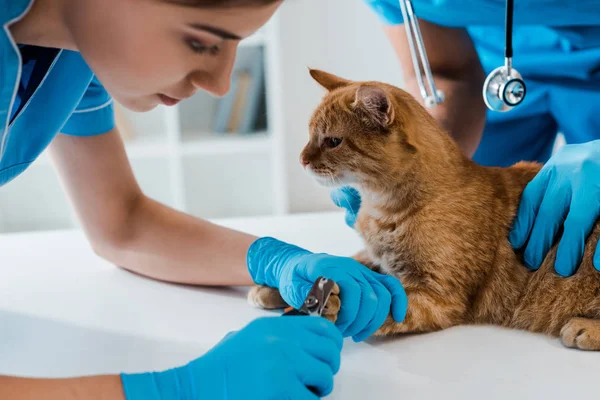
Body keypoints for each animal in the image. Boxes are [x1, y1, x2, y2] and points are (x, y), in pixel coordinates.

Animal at [250, 69, 600, 350]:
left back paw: (582, 328)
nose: (302, 159)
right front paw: (279, 286)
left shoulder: (436, 295)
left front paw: (338, 306)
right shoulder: (378, 259)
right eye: (310, 136)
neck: (383, 209)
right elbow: (346, 262)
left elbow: (389, 301)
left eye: (333, 141)